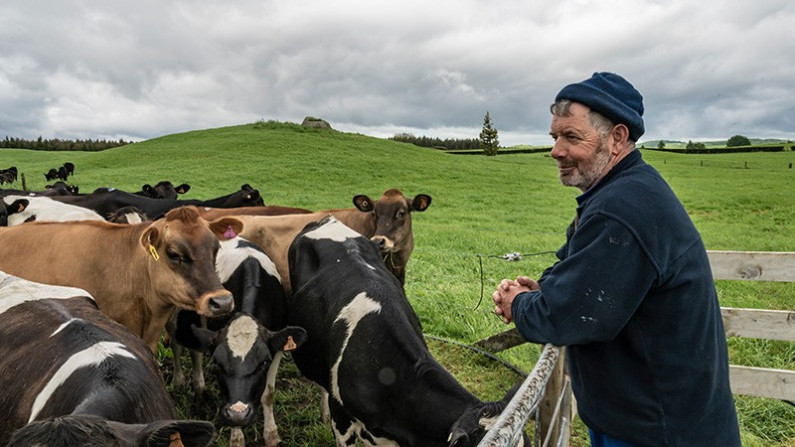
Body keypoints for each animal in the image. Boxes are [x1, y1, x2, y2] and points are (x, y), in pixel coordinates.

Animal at [171, 238, 308, 447]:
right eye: (217, 364)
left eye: (264, 363)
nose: (239, 414)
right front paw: (236, 438)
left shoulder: (276, 348)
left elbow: (268, 394)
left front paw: (271, 434)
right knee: (180, 346)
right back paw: (183, 382)